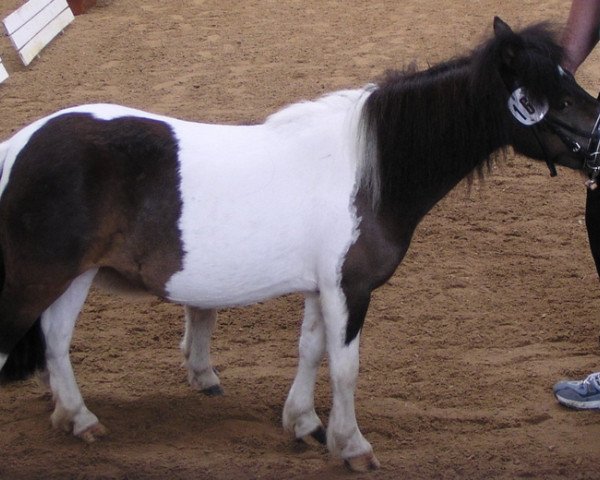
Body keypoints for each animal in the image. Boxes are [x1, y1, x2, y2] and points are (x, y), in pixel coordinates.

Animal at [0, 17, 596, 468]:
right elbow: (345, 365)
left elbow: (310, 350)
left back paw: (79, 418)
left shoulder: (321, 288)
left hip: (71, 278)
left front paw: (304, 423)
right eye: (554, 97)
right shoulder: (350, 289)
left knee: (55, 341)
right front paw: (351, 445)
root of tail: (19, 145)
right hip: (37, 278)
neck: (370, 171)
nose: (598, 143)